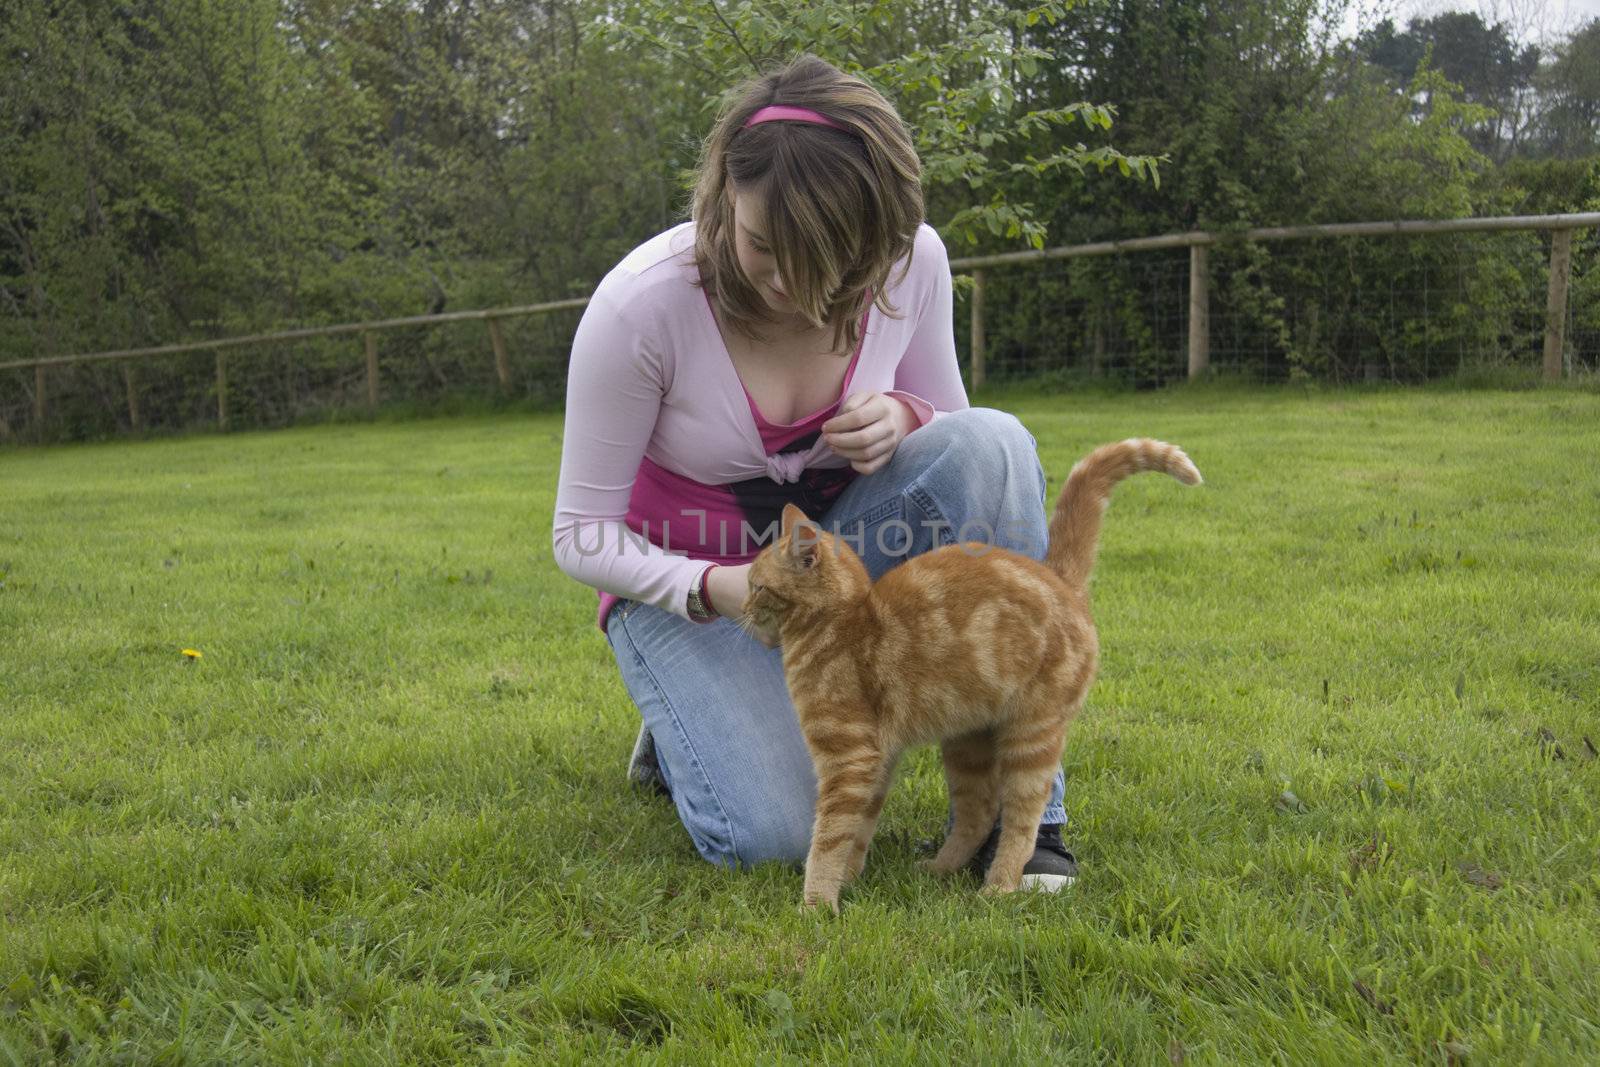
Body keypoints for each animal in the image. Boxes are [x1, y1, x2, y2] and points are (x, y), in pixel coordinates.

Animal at [739, 435, 1203, 908]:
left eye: (757, 587)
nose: (741, 609)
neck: (843, 624)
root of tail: (1061, 581)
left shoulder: (849, 760)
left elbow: (829, 838)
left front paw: (815, 904)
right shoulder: (877, 760)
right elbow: (858, 830)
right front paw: (848, 880)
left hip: (1031, 739)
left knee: (1021, 822)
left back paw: (999, 887)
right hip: (967, 741)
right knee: (977, 814)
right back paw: (940, 869)